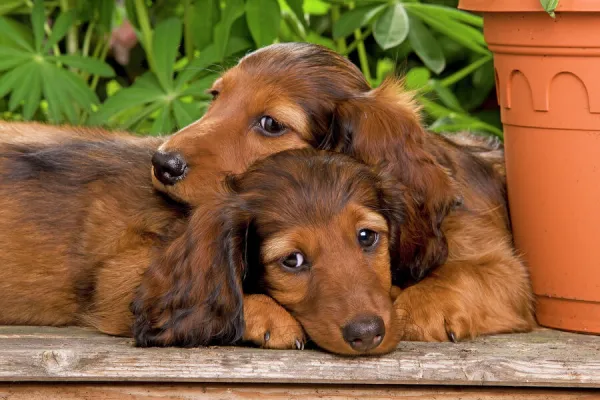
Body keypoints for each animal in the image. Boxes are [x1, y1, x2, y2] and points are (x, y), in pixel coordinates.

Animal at [148, 42, 536, 346]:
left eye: (271, 124)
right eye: (216, 96)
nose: (162, 162)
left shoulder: (510, 273)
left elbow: (467, 273)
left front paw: (420, 306)